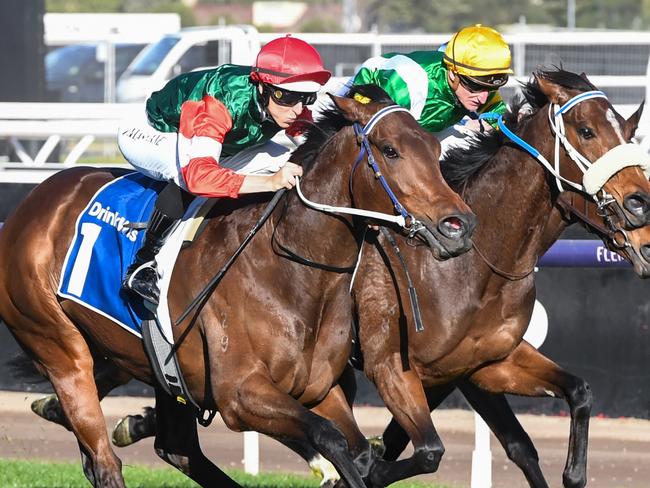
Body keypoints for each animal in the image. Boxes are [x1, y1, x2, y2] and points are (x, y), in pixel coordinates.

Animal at [0, 89, 474, 488]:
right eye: (390, 150)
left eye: (436, 151)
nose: (459, 226)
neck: (291, 272)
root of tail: (25, 210)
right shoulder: (240, 393)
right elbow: (331, 440)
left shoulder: (319, 389)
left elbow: (360, 452)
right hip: (57, 346)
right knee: (104, 460)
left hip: (164, 372)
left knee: (176, 450)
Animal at [344, 68, 650, 488]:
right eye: (586, 131)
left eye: (628, 133)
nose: (642, 205)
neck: (473, 268)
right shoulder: (400, 367)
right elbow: (404, 449)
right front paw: (360, 466)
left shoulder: (482, 364)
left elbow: (557, 411)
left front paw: (573, 473)